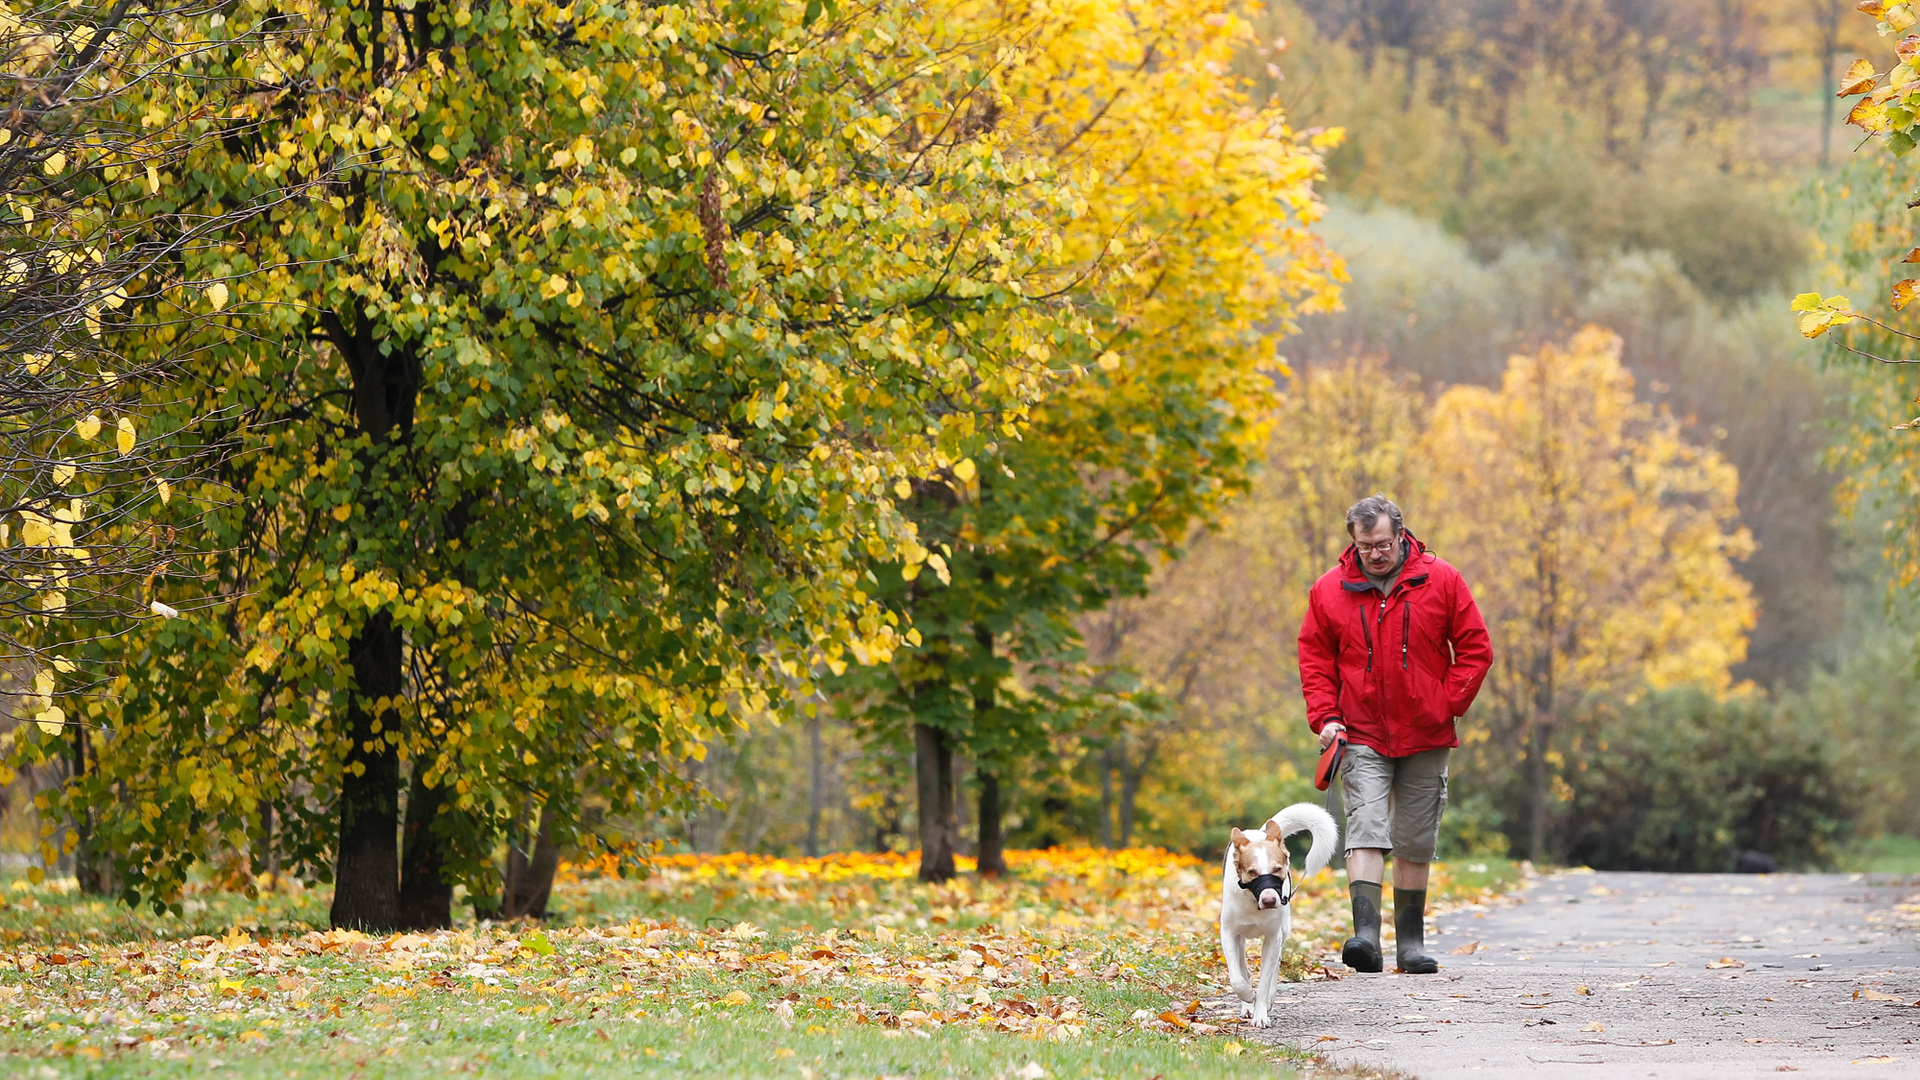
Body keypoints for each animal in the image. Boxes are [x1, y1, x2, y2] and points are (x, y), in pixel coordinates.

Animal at [1221, 803, 1344, 1022]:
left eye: (1277, 869)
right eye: (1252, 872)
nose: (1270, 900)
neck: (1254, 903)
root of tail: (1260, 832)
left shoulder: (1273, 938)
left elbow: (1265, 981)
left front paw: (1260, 1014)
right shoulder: (1228, 933)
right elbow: (1237, 978)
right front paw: (1248, 996)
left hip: (1283, 932)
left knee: (1275, 968)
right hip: (1241, 938)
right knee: (1243, 967)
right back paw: (1247, 1005)